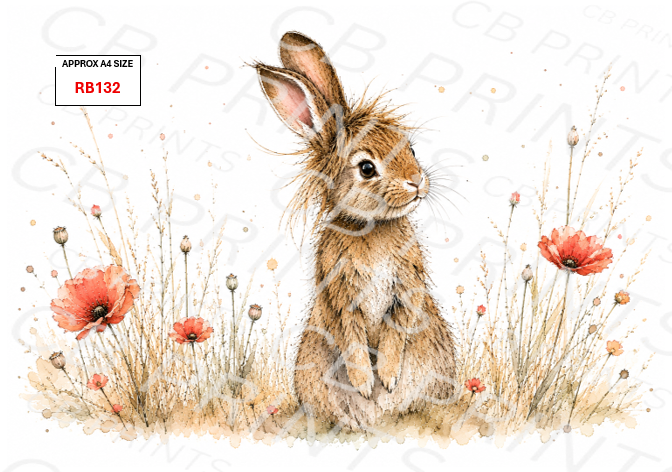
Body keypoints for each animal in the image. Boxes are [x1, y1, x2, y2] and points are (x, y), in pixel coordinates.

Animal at [254, 31, 457, 429]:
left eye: (410, 148)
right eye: (366, 168)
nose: (416, 182)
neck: (370, 228)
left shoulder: (407, 285)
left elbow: (396, 330)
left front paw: (387, 379)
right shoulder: (339, 293)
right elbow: (351, 338)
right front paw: (365, 384)